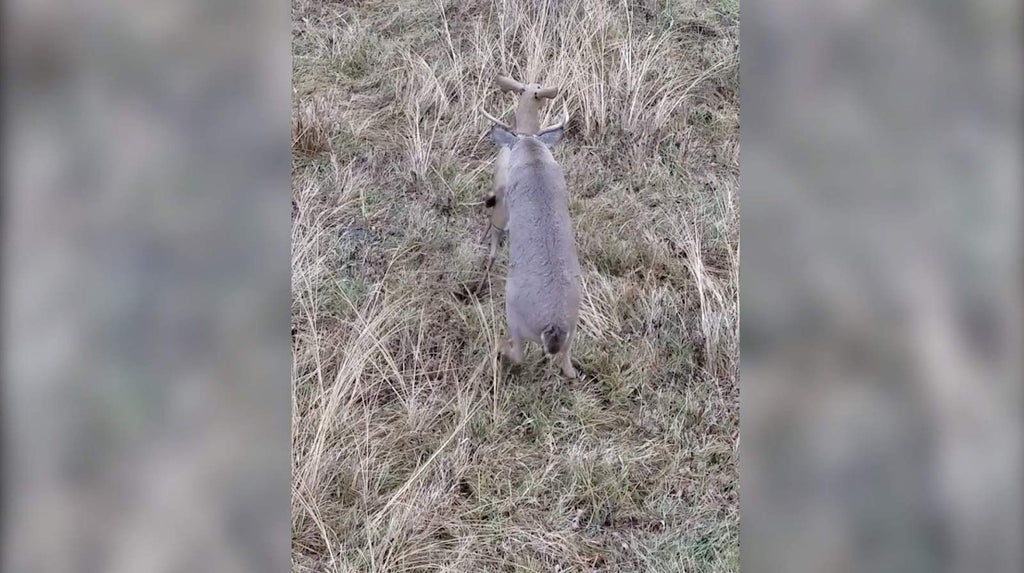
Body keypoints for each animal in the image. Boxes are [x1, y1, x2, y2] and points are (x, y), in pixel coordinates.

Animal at [481, 87, 580, 378]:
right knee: (568, 366)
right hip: (573, 332)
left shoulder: (505, 201)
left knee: (518, 354)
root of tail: (554, 328)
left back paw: (496, 348)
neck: (533, 156)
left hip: (514, 316)